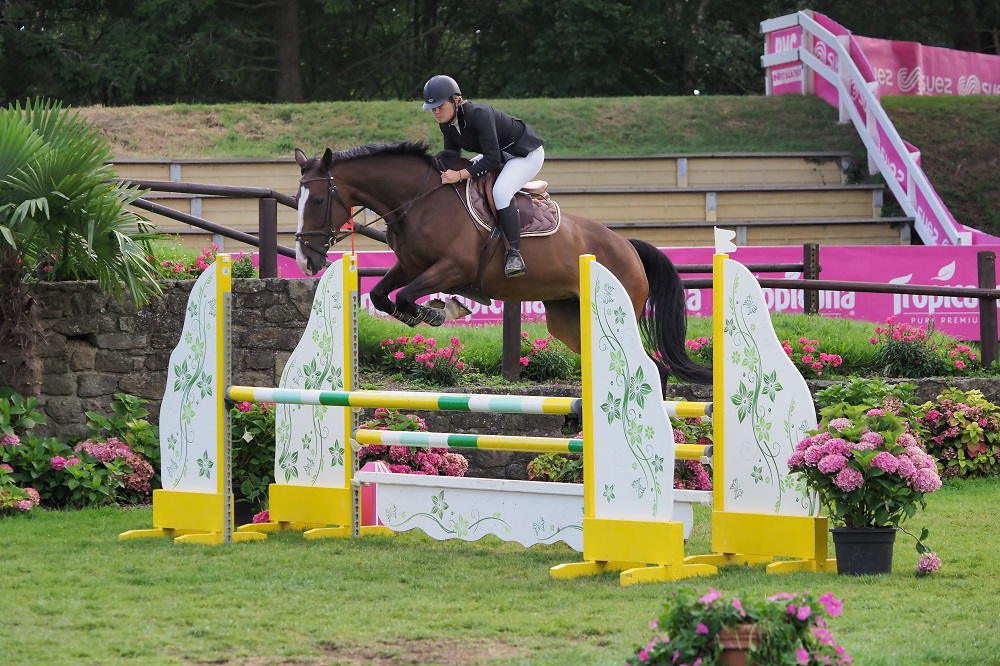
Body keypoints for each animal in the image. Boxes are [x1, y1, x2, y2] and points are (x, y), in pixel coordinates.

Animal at [292, 143, 712, 386]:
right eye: (298, 200)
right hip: (570, 322)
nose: (306, 260)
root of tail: (628, 247)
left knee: (655, 369)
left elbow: (409, 295)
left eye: (318, 201)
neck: (419, 199)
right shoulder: (411, 265)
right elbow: (382, 295)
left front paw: (437, 312)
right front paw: (424, 314)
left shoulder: (453, 268)